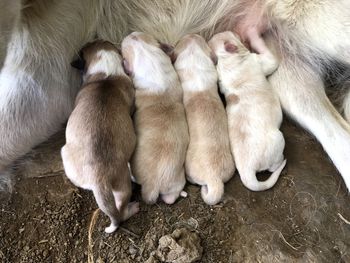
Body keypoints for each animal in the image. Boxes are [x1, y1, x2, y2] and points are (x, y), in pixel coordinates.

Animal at [122, 30, 190, 204]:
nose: (130, 33)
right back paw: (181, 194)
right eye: (137, 35)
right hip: (176, 180)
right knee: (170, 197)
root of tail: (153, 185)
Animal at [209, 31, 286, 192]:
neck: (226, 60)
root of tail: (247, 170)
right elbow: (268, 55)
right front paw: (253, 35)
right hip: (278, 140)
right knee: (273, 167)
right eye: (232, 33)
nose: (237, 32)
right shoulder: (261, 60)